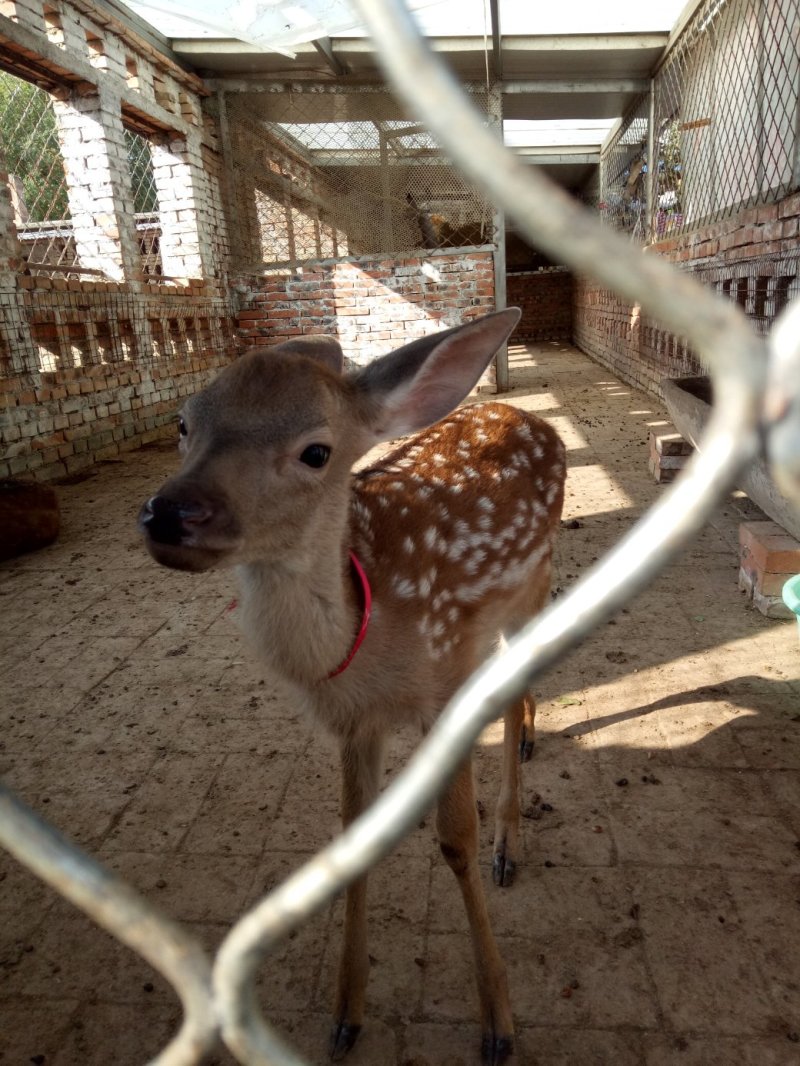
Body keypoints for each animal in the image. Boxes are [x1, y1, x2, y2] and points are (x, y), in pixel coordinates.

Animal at [138, 308, 566, 1065]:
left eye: (316, 452)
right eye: (183, 423)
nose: (170, 512)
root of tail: (529, 415)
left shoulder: (442, 684)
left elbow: (454, 841)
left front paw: (498, 1022)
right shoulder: (352, 722)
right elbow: (352, 845)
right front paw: (345, 1016)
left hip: (535, 581)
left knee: (520, 680)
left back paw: (510, 841)